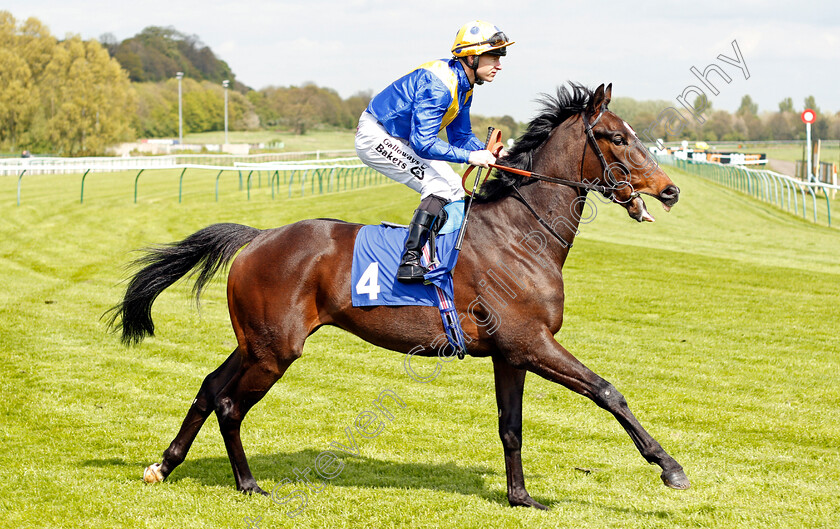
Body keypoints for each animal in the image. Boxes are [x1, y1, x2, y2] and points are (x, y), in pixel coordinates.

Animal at [108, 82, 688, 508]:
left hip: (254, 341)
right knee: (229, 403)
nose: (670, 190)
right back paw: (248, 484)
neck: (522, 235)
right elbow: (608, 391)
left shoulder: (511, 353)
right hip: (275, 349)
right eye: (615, 137)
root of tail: (259, 237)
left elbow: (512, 428)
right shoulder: (531, 342)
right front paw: (671, 468)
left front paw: (520, 497)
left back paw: (164, 464)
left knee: (210, 387)